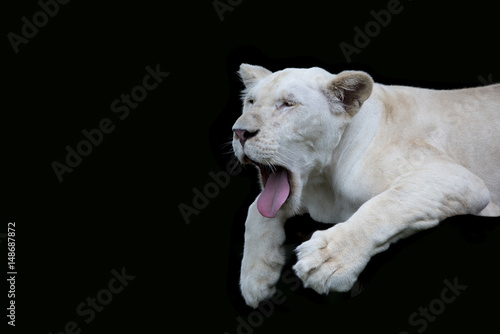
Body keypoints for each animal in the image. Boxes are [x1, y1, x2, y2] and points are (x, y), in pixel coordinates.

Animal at [232, 63, 500, 308]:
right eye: (251, 102)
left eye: (288, 104)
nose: (239, 132)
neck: (325, 182)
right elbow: (256, 210)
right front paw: (255, 280)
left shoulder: (456, 177)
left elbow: (385, 206)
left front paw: (327, 261)